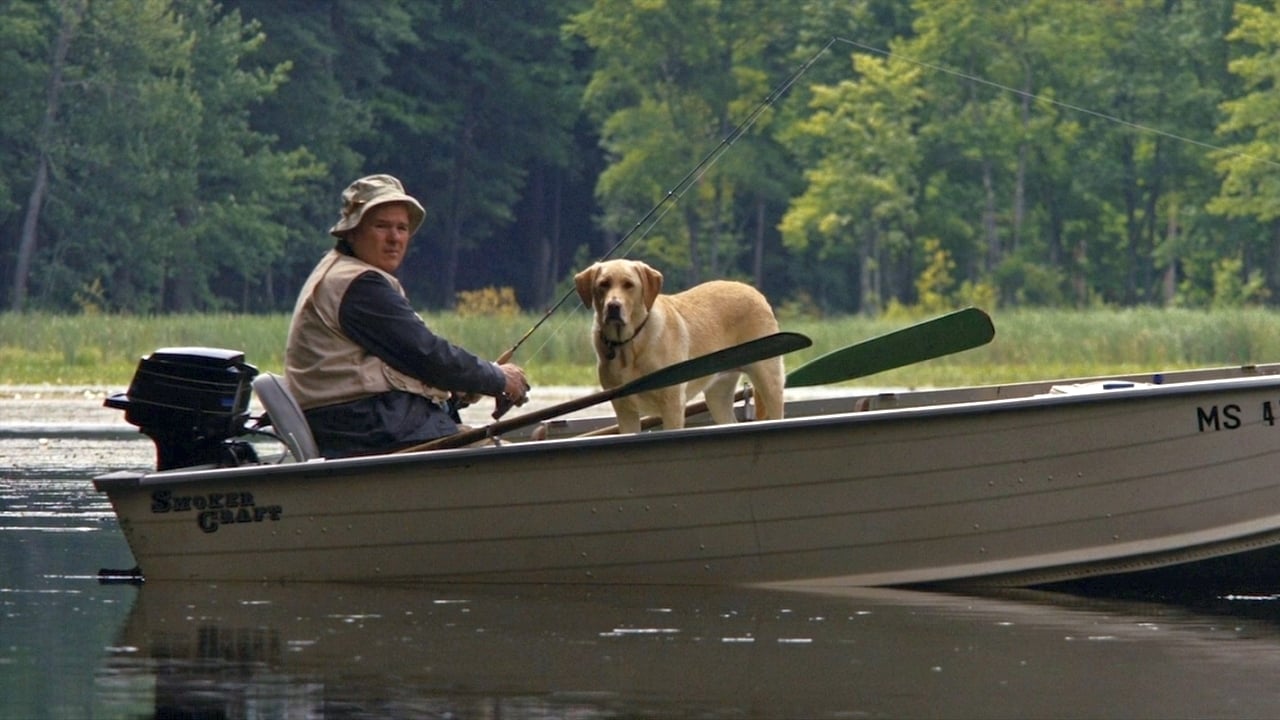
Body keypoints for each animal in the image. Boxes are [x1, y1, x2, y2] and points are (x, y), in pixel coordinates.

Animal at [576, 260, 783, 435]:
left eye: (629, 284)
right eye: (603, 284)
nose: (613, 306)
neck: (629, 343)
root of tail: (756, 292)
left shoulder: (672, 405)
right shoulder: (624, 410)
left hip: (769, 381)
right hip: (718, 397)